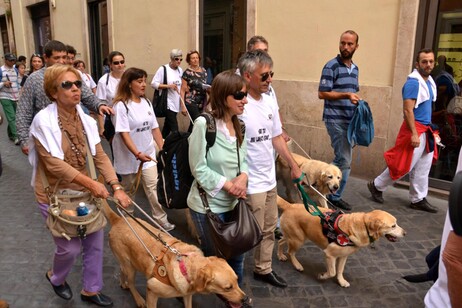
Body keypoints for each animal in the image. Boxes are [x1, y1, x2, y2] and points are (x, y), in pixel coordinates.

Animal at [102, 200, 247, 308]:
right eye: (228, 288)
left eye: (237, 280)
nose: (245, 299)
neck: (186, 268)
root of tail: (118, 219)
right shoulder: (152, 290)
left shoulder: (187, 295)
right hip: (130, 267)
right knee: (132, 283)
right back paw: (138, 299)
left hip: (129, 263)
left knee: (122, 270)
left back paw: (123, 283)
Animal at [276, 196, 406, 288]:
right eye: (393, 226)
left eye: (396, 224)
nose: (405, 233)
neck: (362, 225)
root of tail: (290, 205)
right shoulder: (329, 254)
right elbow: (332, 272)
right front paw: (323, 276)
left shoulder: (343, 256)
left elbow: (339, 270)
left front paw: (341, 281)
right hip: (298, 239)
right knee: (291, 252)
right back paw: (297, 265)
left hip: (293, 236)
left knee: (281, 241)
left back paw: (280, 255)